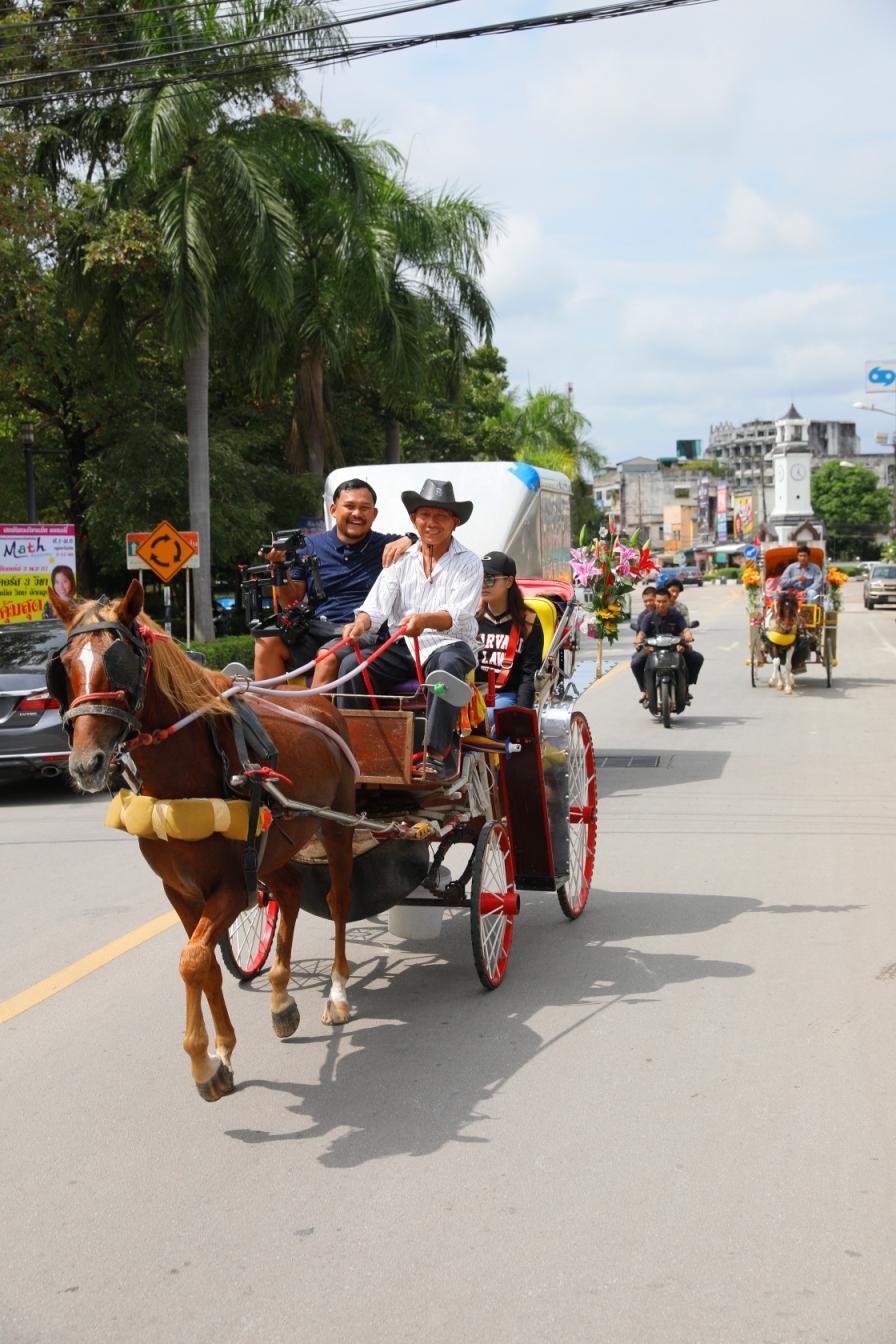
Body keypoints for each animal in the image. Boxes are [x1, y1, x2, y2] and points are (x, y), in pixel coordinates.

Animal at [49, 580, 357, 1102]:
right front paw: (223, 1051)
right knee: (290, 891)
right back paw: (280, 997)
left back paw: (336, 992)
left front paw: (202, 1061)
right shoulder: (179, 890)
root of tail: (318, 702)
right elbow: (207, 962)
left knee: (337, 900)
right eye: (65, 665)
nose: (86, 764)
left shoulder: (231, 889)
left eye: (120, 663)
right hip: (277, 844)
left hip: (336, 825)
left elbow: (192, 960)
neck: (182, 778)